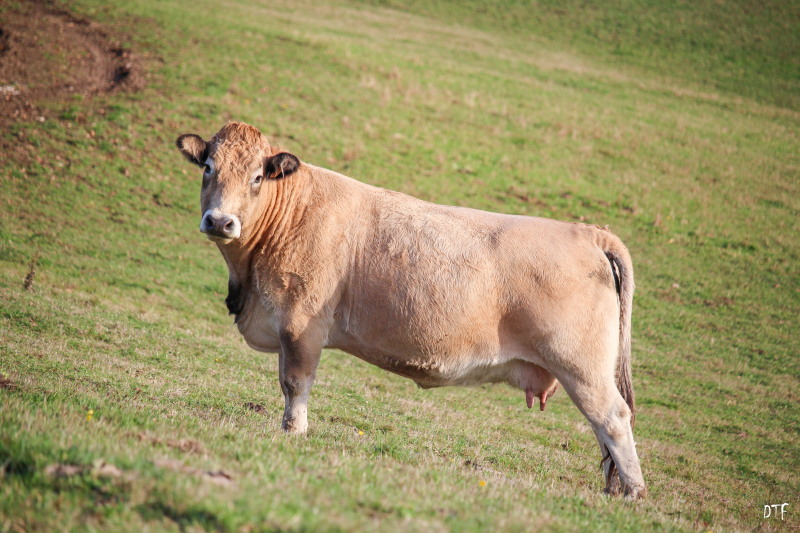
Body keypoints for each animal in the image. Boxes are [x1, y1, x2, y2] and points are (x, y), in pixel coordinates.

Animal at [177, 122, 648, 496]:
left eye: (257, 176)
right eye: (208, 167)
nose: (220, 221)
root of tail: (588, 232)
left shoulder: (300, 325)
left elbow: (295, 385)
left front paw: (292, 434)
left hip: (580, 365)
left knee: (613, 419)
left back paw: (633, 493)